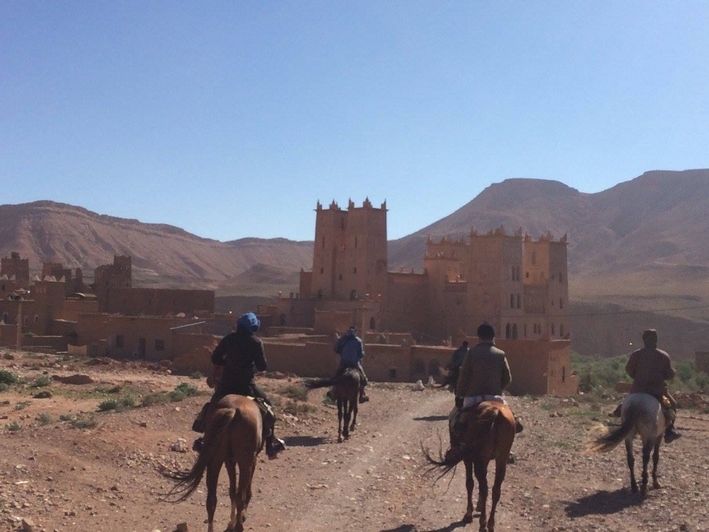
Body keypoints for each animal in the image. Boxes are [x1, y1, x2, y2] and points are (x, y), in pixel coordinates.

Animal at [160, 394, 262, 532]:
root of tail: (233, 410)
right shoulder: (251, 461)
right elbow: (244, 491)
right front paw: (239, 518)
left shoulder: (229, 461)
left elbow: (232, 491)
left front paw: (231, 522)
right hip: (244, 462)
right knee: (241, 496)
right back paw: (239, 526)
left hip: (215, 460)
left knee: (211, 499)